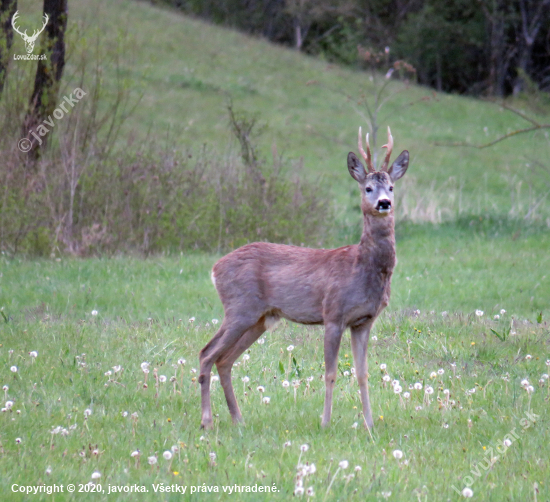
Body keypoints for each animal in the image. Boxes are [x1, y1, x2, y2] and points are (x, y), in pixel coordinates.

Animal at [199, 127, 410, 430]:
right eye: (367, 188)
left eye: (391, 187)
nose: (384, 203)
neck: (362, 267)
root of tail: (215, 268)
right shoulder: (333, 314)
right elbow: (330, 373)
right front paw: (325, 422)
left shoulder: (363, 322)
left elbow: (363, 373)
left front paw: (369, 424)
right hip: (240, 309)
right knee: (207, 353)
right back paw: (206, 421)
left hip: (259, 319)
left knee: (224, 360)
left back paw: (238, 419)